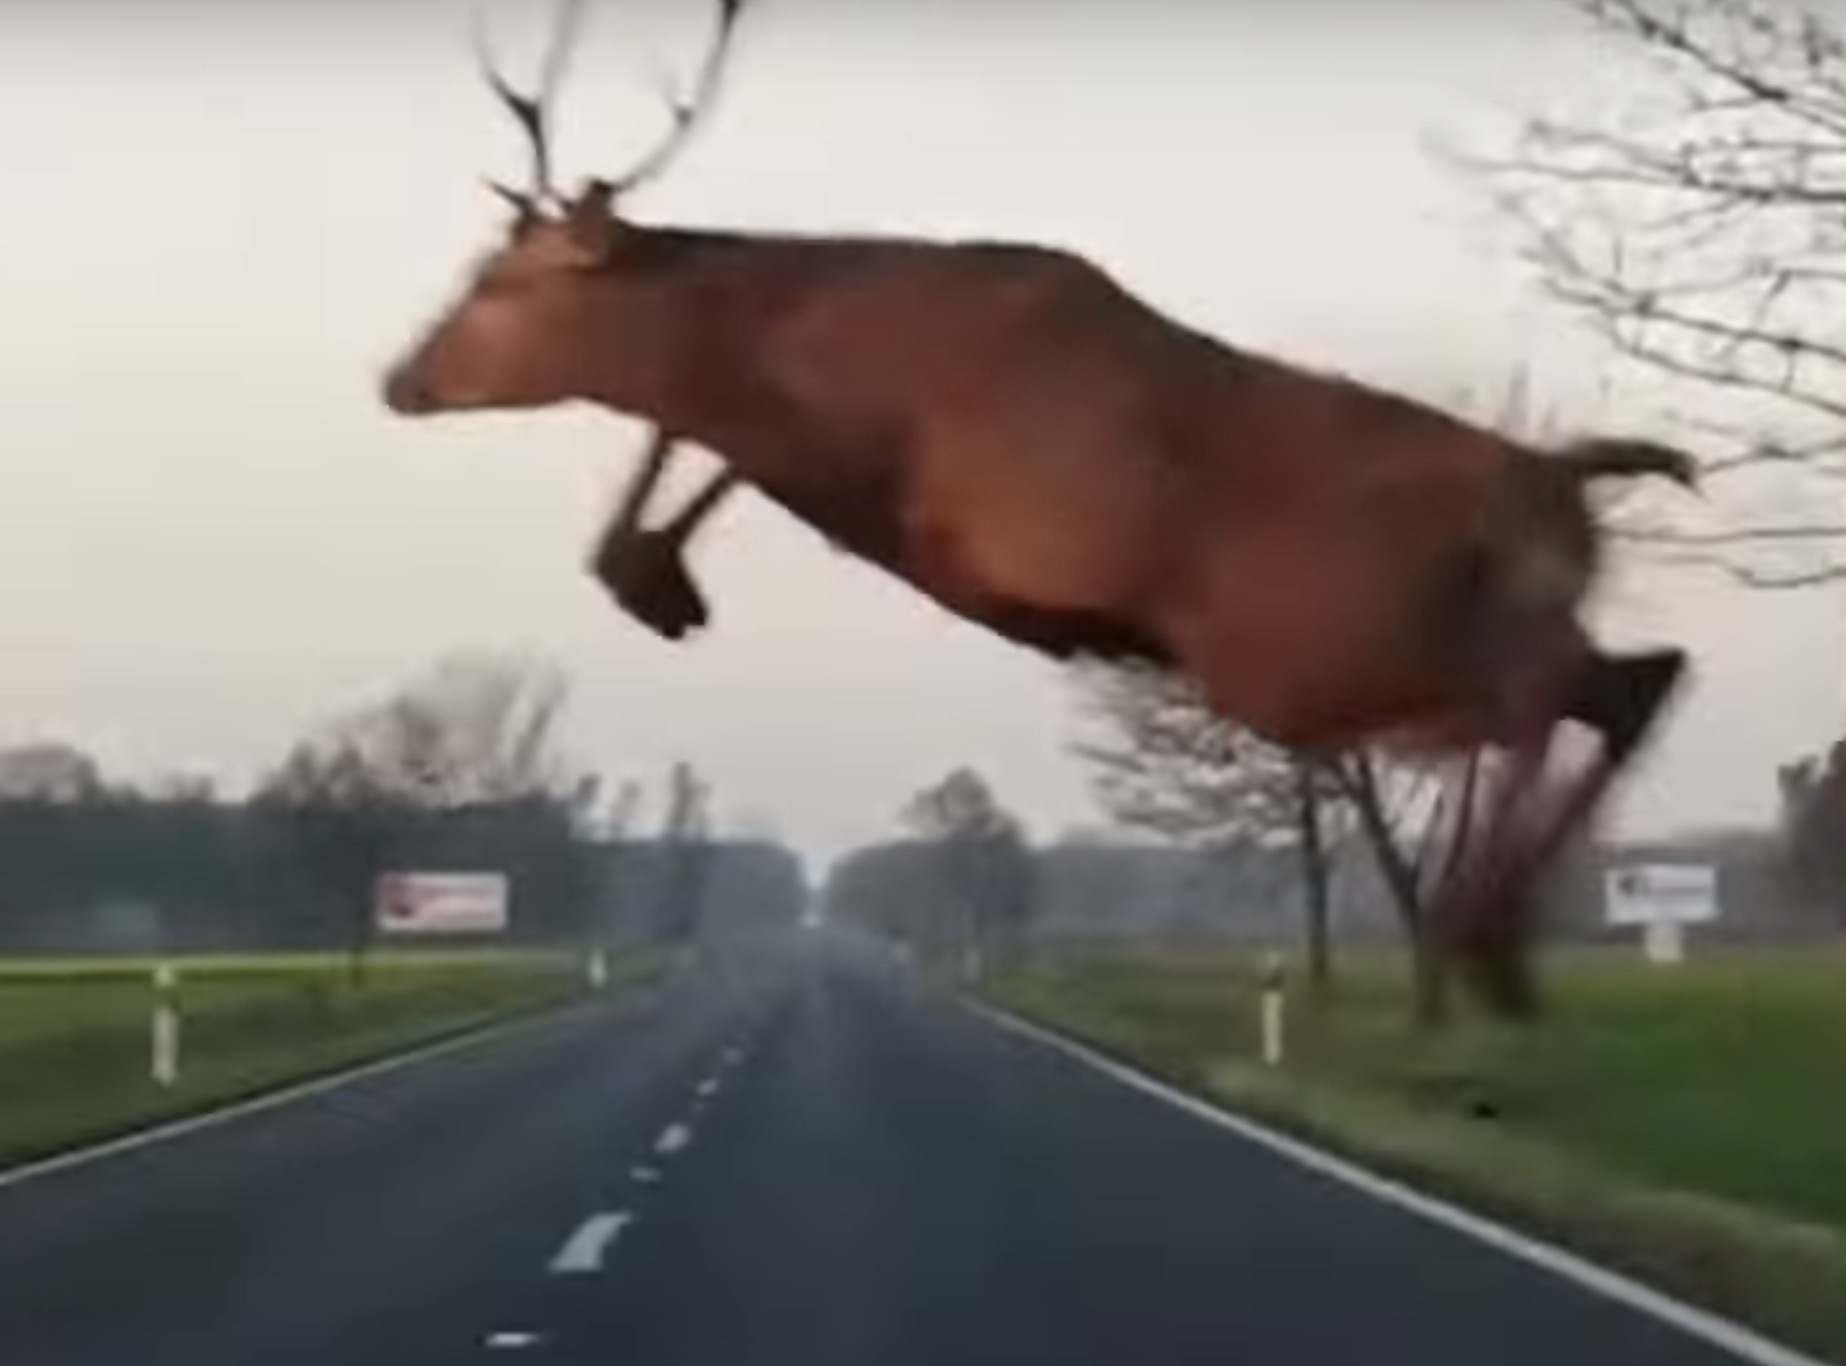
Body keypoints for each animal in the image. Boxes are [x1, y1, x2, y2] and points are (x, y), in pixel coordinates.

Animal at [378, 0, 1698, 1011]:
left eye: (502, 283)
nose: (401, 380)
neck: (849, 352)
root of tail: (1566, 482)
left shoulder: (1003, 521)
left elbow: (720, 435)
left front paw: (649, 570)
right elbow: (703, 437)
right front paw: (648, 572)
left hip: (1313, 648)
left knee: (1552, 692)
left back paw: (1482, 942)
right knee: (1632, 677)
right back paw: (1494, 949)